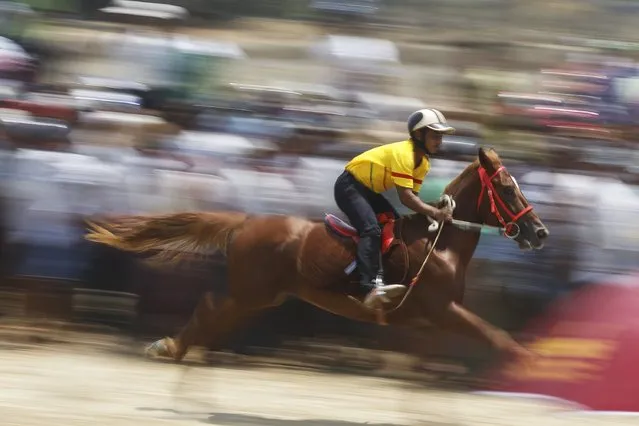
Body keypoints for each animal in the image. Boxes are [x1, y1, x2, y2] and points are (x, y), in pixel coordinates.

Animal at [86, 146, 552, 362]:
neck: (442, 246)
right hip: (252, 291)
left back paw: (179, 348)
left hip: (261, 296)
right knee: (208, 307)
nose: (540, 232)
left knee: (216, 313)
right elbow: (498, 336)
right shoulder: (443, 310)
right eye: (507, 188)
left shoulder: (429, 322)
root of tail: (244, 221)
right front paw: (531, 366)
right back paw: (169, 347)